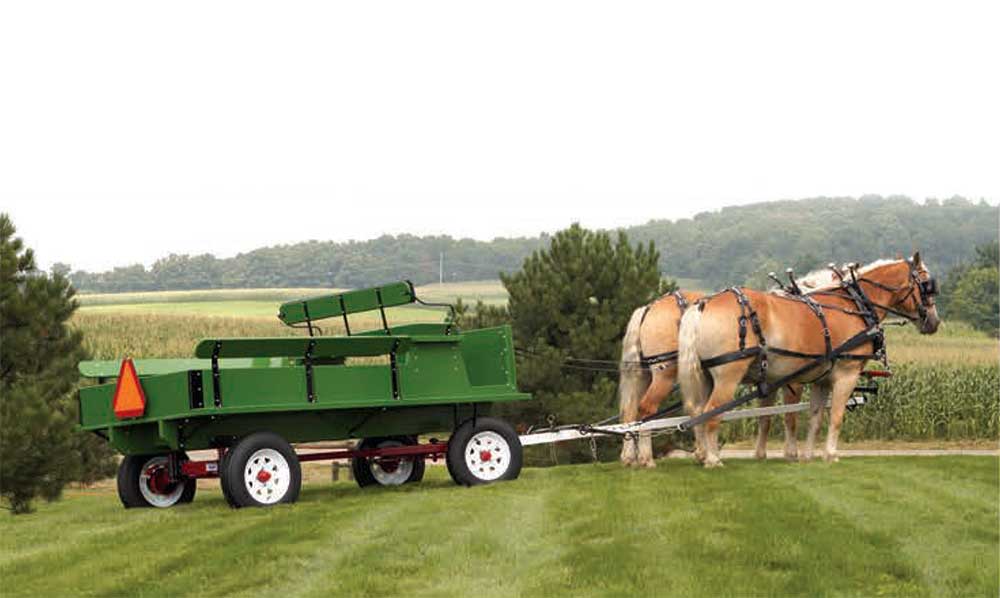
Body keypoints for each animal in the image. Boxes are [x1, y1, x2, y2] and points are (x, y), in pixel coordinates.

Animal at [678, 253, 940, 468]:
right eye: (926, 285)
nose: (934, 322)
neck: (855, 305)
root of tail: (703, 305)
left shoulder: (820, 380)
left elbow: (814, 417)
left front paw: (807, 455)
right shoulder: (845, 374)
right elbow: (834, 416)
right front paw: (830, 454)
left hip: (706, 376)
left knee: (697, 411)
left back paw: (703, 454)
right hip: (728, 376)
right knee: (712, 413)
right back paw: (713, 459)